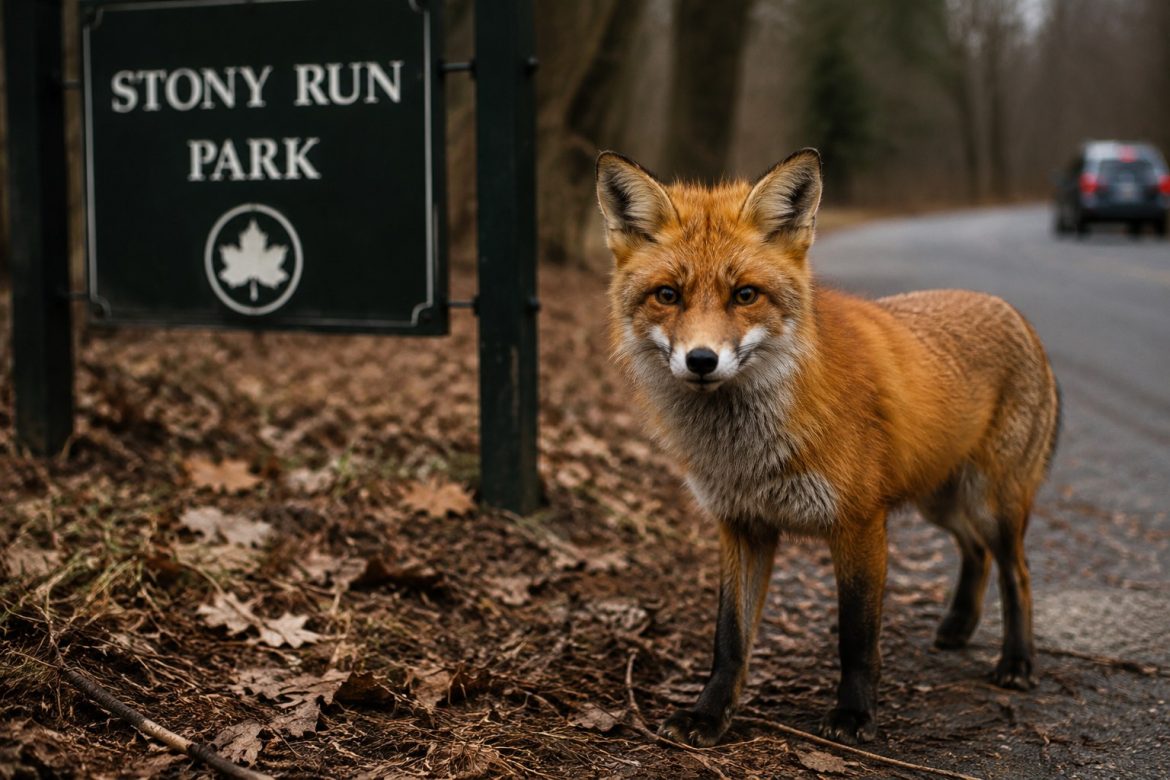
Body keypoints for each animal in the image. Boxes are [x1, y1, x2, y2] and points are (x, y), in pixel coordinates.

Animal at [596, 148, 1060, 747]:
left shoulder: (859, 523)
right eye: (668, 296)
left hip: (992, 502)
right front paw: (709, 713)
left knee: (1016, 572)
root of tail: (1013, 311)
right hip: (938, 499)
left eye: (745, 295)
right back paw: (958, 627)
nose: (701, 360)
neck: (748, 451)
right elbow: (730, 638)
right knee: (973, 551)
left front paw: (854, 714)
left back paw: (1017, 662)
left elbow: (856, 637)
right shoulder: (742, 524)